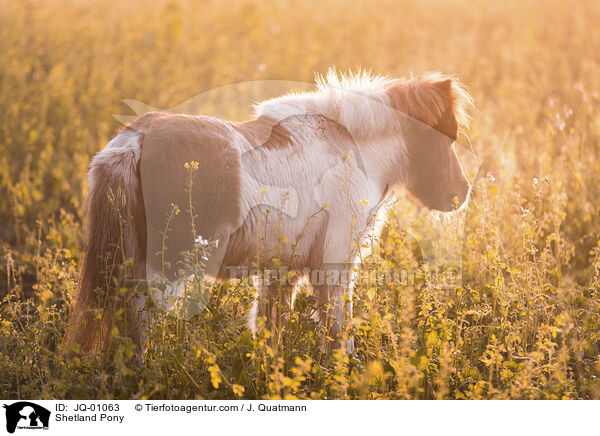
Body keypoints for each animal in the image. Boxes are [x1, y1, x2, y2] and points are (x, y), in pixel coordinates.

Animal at [62, 70, 474, 360]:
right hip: (164, 268)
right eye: (446, 137)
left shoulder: (282, 270)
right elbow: (338, 334)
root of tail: (133, 142)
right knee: (137, 323)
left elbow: (271, 331)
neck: (352, 147)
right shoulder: (335, 266)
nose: (461, 193)